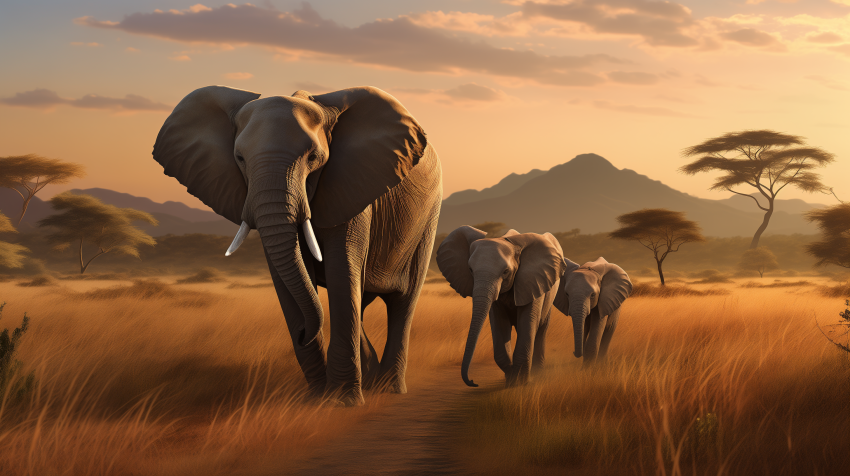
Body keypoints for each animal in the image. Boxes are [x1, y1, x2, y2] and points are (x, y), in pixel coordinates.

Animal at [152, 85, 442, 406]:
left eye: (314, 157)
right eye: (239, 158)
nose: (303, 332)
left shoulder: (352, 184)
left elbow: (342, 271)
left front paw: (342, 402)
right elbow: (287, 280)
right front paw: (317, 399)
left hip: (427, 219)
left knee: (403, 301)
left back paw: (388, 387)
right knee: (363, 300)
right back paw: (370, 378)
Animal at [436, 226, 566, 387]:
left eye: (505, 272)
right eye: (470, 270)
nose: (473, 382)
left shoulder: (532, 281)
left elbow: (527, 323)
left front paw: (521, 382)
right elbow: (499, 325)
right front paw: (511, 378)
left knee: (541, 328)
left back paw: (538, 372)